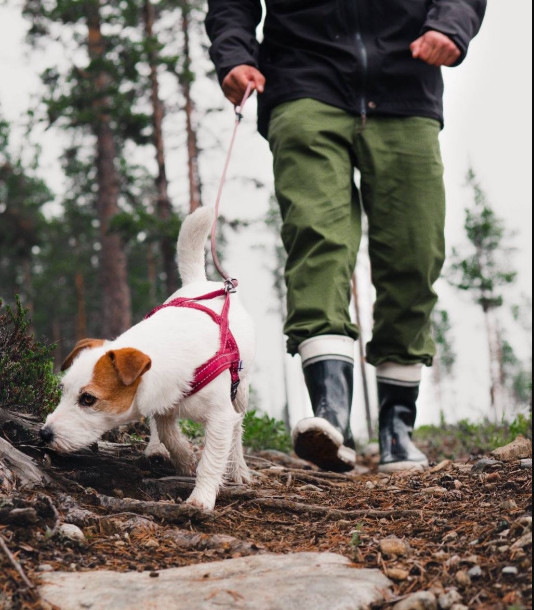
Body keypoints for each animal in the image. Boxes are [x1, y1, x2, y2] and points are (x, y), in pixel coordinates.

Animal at [39, 207, 255, 510]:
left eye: (88, 399)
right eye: (63, 391)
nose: (45, 434)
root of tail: (200, 282)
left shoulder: (220, 415)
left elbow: (213, 457)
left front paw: (200, 498)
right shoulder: (164, 400)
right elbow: (166, 431)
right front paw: (183, 457)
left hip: (241, 390)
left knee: (237, 429)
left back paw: (237, 468)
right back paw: (156, 448)